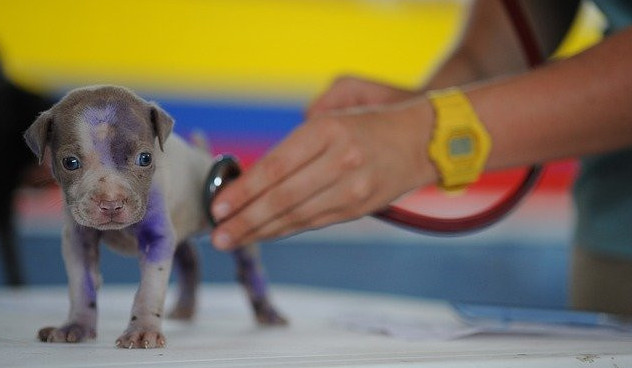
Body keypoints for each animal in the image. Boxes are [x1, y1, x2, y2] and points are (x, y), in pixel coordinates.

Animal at [24, 85, 286, 350]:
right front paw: (76, 326)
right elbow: (81, 285)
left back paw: (268, 311)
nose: (111, 203)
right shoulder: (78, 240)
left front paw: (142, 330)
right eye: (70, 162)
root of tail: (202, 155)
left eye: (145, 158)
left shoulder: (157, 238)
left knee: (249, 267)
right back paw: (185, 308)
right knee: (190, 258)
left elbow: (149, 289)